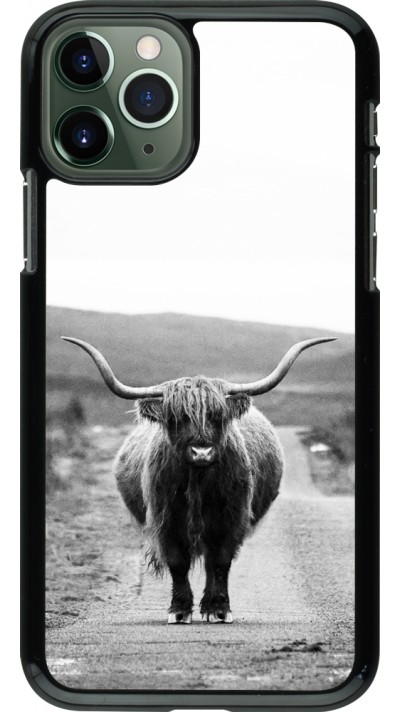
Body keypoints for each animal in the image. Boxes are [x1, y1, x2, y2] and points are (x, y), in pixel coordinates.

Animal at [62, 335, 335, 624]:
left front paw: (218, 608)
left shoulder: (231, 519)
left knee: (211, 562)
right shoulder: (166, 520)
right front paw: (179, 610)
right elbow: (178, 563)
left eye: (217, 416)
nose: (201, 452)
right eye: (177, 418)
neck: (198, 481)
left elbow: (221, 562)